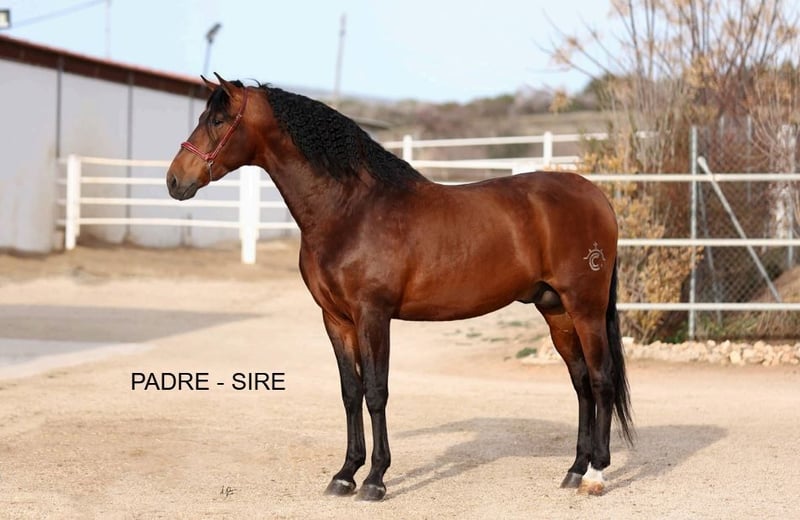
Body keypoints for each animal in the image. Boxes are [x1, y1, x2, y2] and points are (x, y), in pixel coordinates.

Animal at [166, 74, 633, 501]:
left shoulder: (373, 315)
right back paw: (574, 469)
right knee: (581, 382)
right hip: (556, 310)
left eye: (218, 120)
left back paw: (596, 475)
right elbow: (350, 392)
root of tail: (597, 197)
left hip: (586, 308)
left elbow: (376, 392)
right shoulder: (336, 319)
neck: (350, 210)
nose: (174, 180)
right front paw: (345, 474)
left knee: (601, 378)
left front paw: (374, 479)